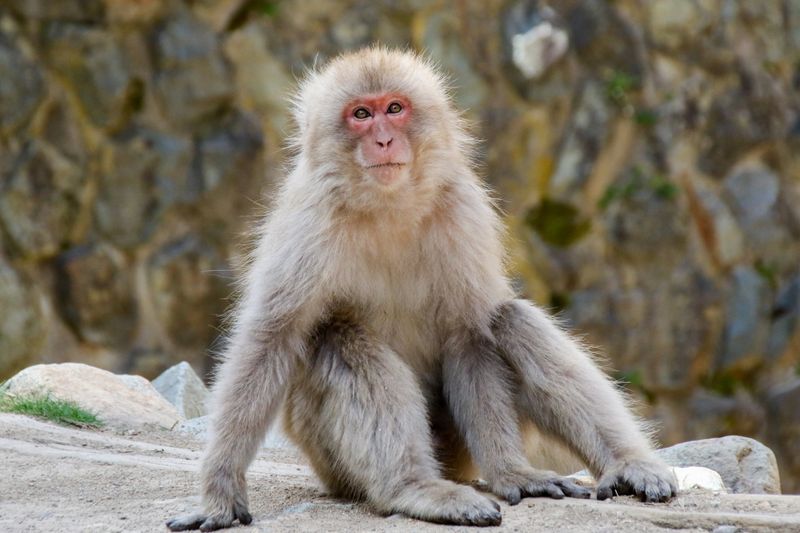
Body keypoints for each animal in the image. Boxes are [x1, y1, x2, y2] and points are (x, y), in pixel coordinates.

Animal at [166, 47, 677, 531]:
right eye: (361, 114)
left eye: (395, 108)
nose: (384, 139)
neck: (387, 205)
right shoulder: (306, 222)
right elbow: (272, 338)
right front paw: (219, 494)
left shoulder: (464, 210)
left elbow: (469, 333)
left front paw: (513, 473)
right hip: (327, 459)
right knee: (338, 337)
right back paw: (414, 488)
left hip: (457, 446)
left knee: (509, 318)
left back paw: (628, 465)